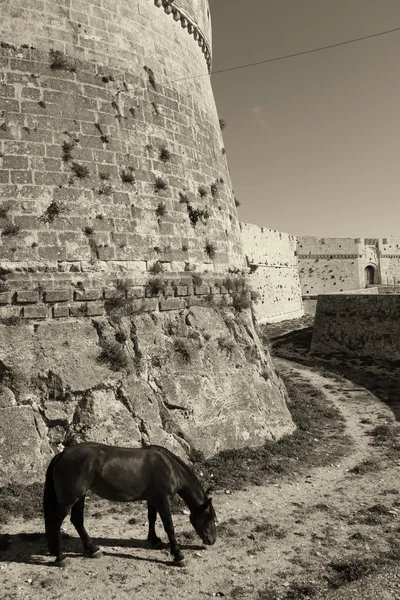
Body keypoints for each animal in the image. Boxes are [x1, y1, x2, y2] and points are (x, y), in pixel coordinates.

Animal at [43, 440, 216, 568]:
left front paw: (154, 540)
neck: (169, 467)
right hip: (69, 500)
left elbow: (151, 518)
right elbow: (169, 527)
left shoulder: (153, 498)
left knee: (77, 520)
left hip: (80, 497)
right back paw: (60, 557)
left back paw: (93, 549)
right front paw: (178, 555)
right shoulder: (162, 499)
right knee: (56, 523)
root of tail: (61, 455)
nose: (212, 540)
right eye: (210, 517)